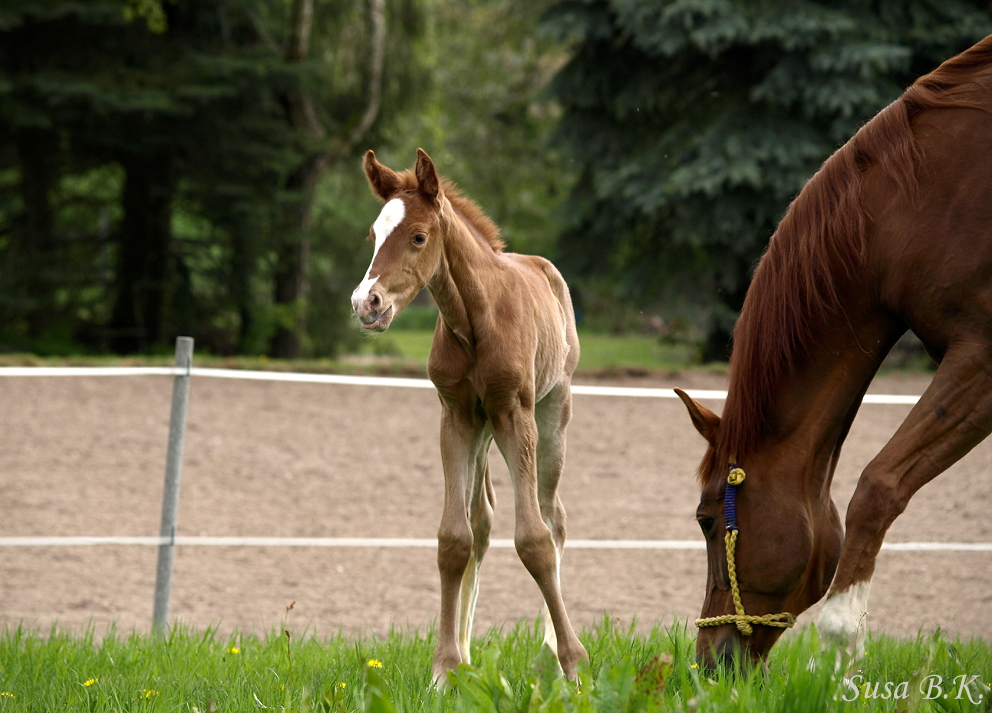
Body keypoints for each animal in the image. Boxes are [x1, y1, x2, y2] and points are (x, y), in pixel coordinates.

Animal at [350, 149, 588, 680]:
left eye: (418, 236)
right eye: (373, 235)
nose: (365, 303)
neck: (477, 319)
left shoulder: (516, 414)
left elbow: (535, 540)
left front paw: (575, 663)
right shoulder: (456, 417)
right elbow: (453, 539)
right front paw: (445, 668)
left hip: (552, 415)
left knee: (555, 518)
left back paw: (548, 652)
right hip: (483, 432)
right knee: (482, 523)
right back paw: (467, 650)